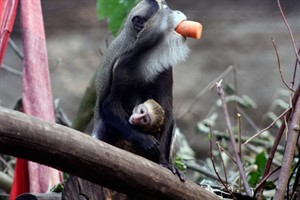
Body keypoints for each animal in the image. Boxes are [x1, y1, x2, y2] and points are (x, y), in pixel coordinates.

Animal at [92, 0, 190, 181]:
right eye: (165, 9)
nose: (179, 12)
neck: (146, 52)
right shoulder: (122, 64)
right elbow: (109, 105)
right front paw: (144, 140)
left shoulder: (165, 66)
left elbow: (167, 108)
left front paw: (165, 163)